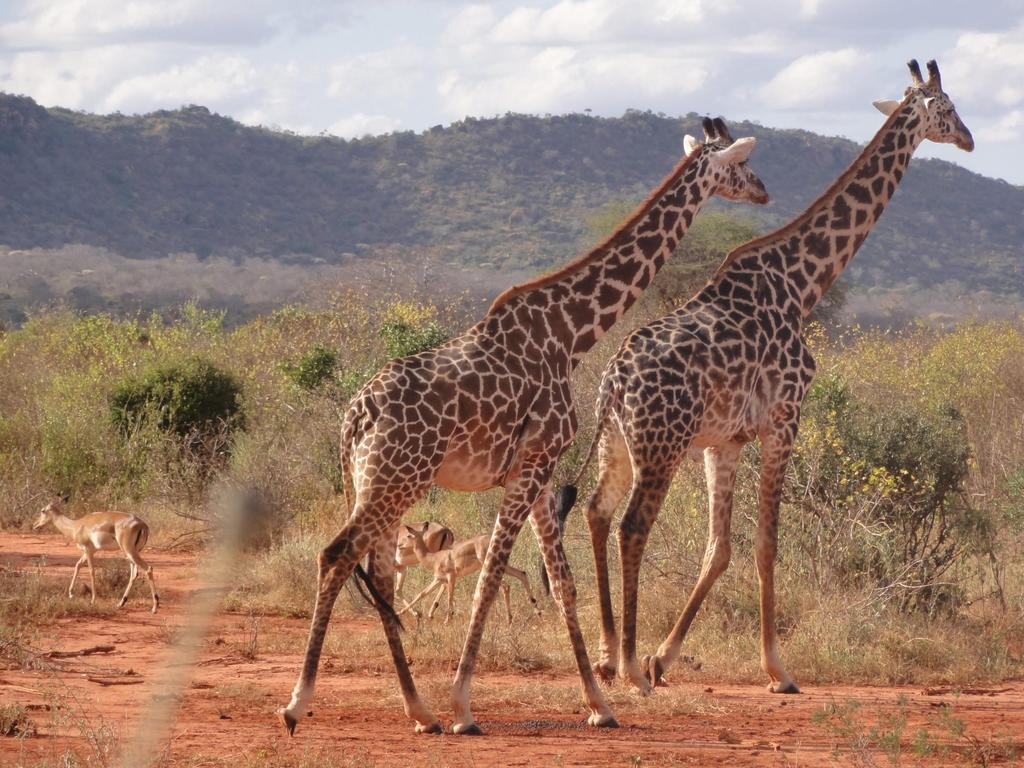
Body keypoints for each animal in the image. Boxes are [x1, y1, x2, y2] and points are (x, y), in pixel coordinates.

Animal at [397, 524, 544, 626]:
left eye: (409, 536)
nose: (399, 545)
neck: (433, 557)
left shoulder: (451, 577)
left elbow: (449, 597)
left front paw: (447, 620)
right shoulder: (439, 579)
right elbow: (421, 593)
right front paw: (402, 612)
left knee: (506, 585)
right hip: (502, 567)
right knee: (521, 574)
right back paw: (531, 613)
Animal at [565, 60, 970, 696]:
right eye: (948, 109)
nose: (971, 139)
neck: (803, 285)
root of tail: (614, 381)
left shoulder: (725, 442)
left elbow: (720, 548)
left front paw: (665, 656)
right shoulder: (784, 421)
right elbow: (767, 544)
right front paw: (778, 669)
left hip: (617, 444)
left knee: (598, 513)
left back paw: (612, 658)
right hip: (661, 445)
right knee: (632, 525)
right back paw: (627, 666)